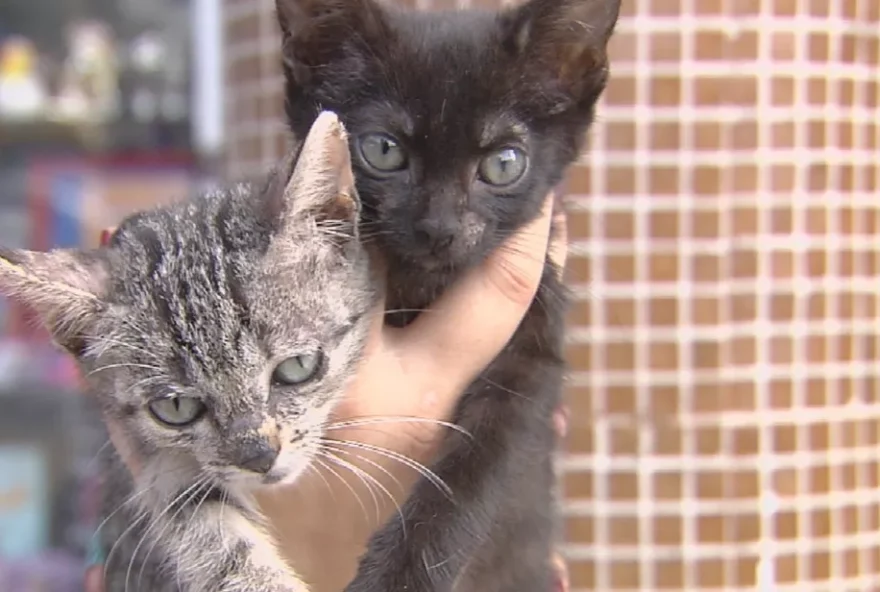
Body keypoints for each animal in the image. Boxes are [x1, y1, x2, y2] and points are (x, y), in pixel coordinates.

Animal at [276, 2, 620, 588]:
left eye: (504, 163)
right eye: (383, 151)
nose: (439, 228)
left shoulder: (530, 361)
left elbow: (471, 471)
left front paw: (400, 573)